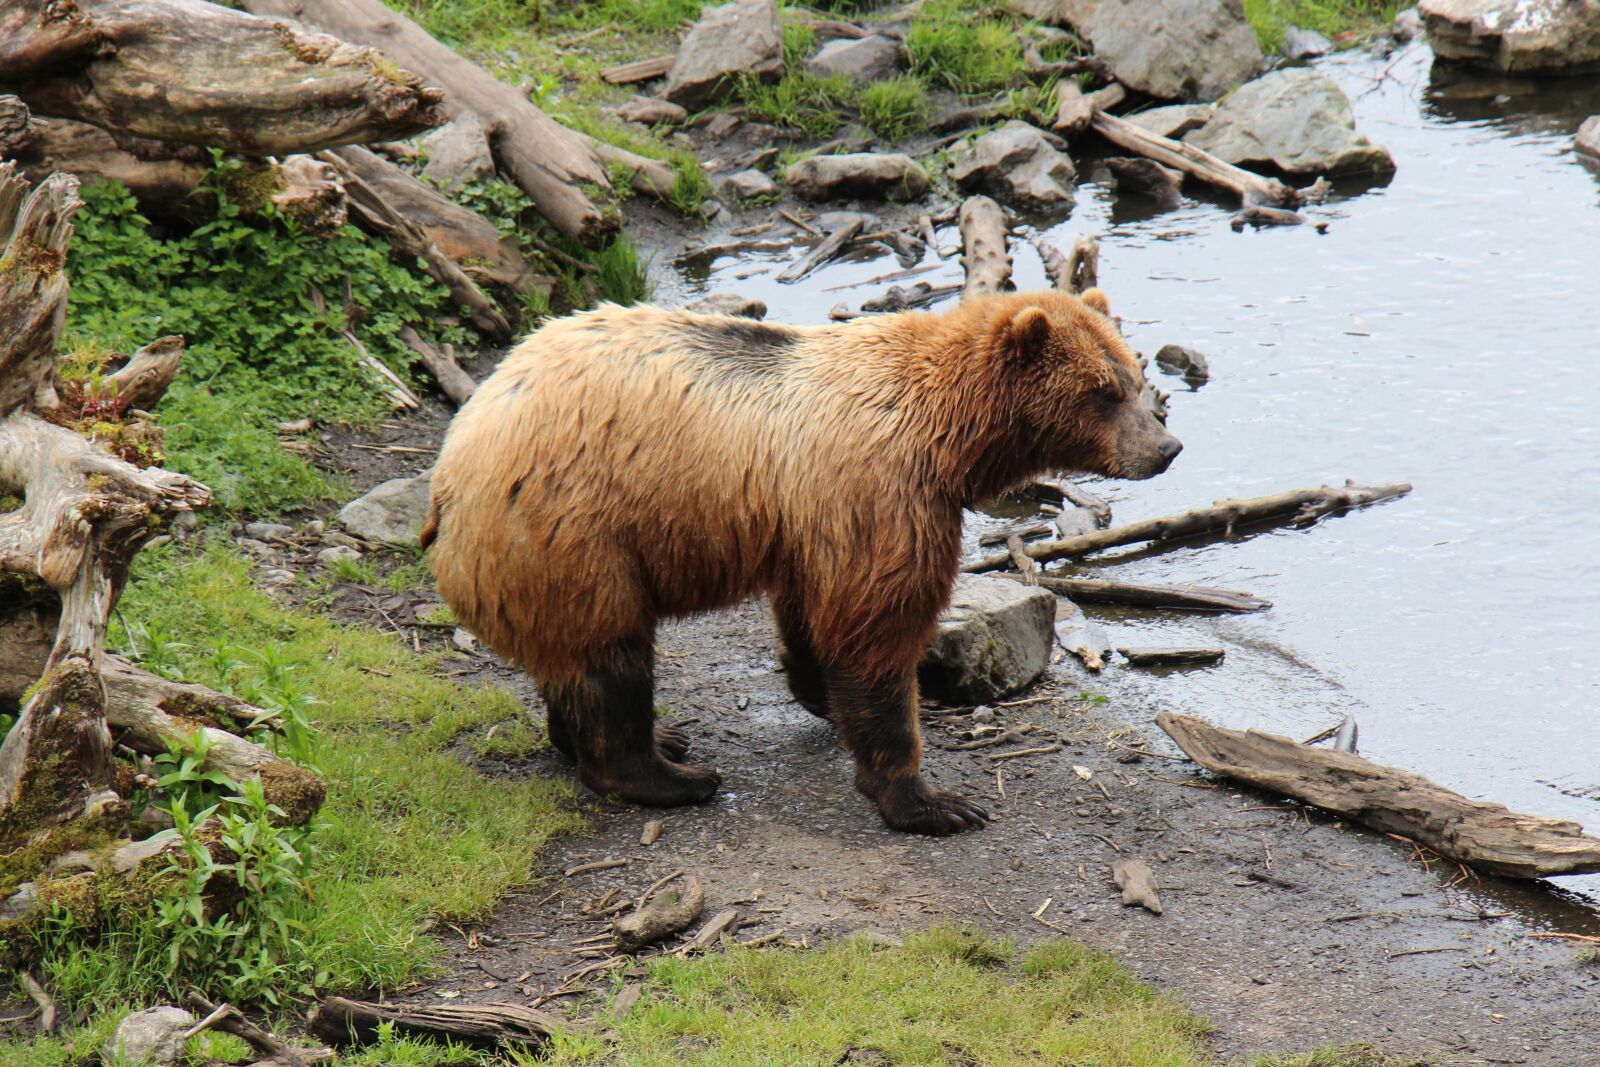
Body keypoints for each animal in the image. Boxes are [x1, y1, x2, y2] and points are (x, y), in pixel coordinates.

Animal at [422, 289, 1181, 835]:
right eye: (1104, 391)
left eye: (1133, 375)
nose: (1166, 447)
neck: (950, 437)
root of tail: (450, 467)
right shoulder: (882, 489)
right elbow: (878, 626)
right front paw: (931, 800)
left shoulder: (813, 518)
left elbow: (816, 611)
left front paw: (820, 691)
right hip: (573, 530)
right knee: (612, 656)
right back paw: (670, 773)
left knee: (572, 657)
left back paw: (641, 736)